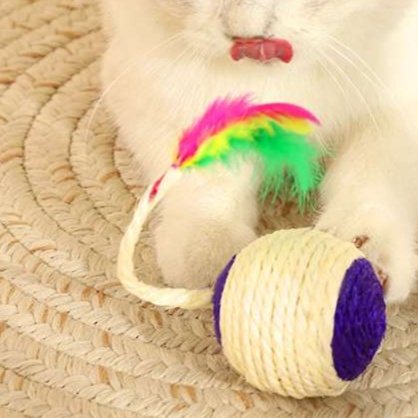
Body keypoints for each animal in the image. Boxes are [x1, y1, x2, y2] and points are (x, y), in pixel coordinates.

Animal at [100, 0, 418, 303]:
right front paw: (208, 244)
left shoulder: (397, 99)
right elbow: (207, 175)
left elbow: (372, 173)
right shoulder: (146, 84)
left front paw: (362, 251)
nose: (249, 37)